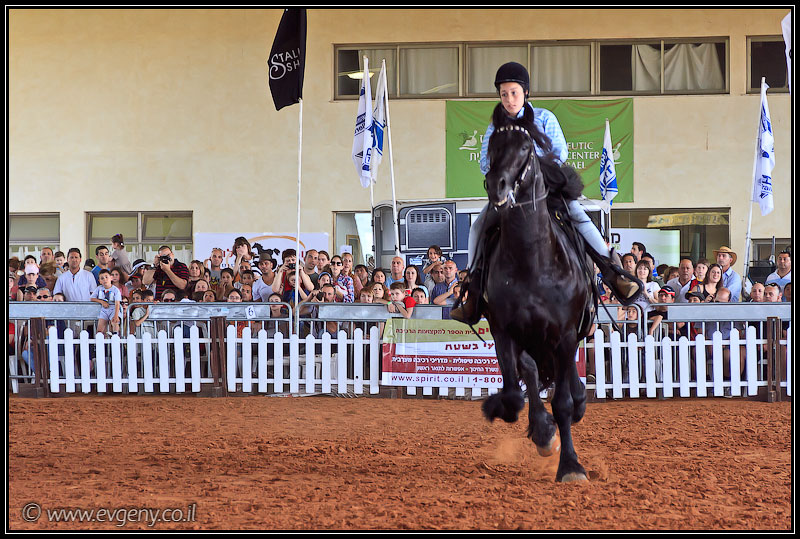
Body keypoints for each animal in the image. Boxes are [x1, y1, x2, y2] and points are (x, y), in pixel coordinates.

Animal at [479, 113, 596, 483]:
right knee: (530, 372)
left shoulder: (565, 334)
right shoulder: (503, 331)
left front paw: (571, 467)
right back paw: (543, 431)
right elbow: (514, 395)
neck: (532, 260)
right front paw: (540, 430)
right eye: (493, 145)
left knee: (568, 386)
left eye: (525, 148)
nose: (496, 185)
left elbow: (563, 403)